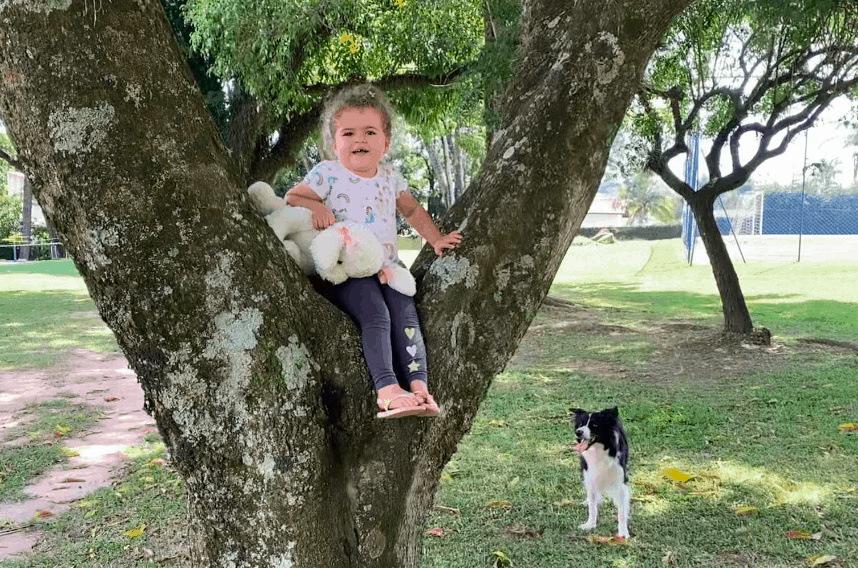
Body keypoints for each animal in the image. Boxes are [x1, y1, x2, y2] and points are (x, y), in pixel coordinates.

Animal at [568, 406, 628, 540]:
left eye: (594, 425)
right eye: (580, 424)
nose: (578, 432)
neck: (598, 449)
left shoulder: (621, 481)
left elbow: (622, 510)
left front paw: (623, 532)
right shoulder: (590, 476)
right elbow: (592, 506)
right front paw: (590, 524)